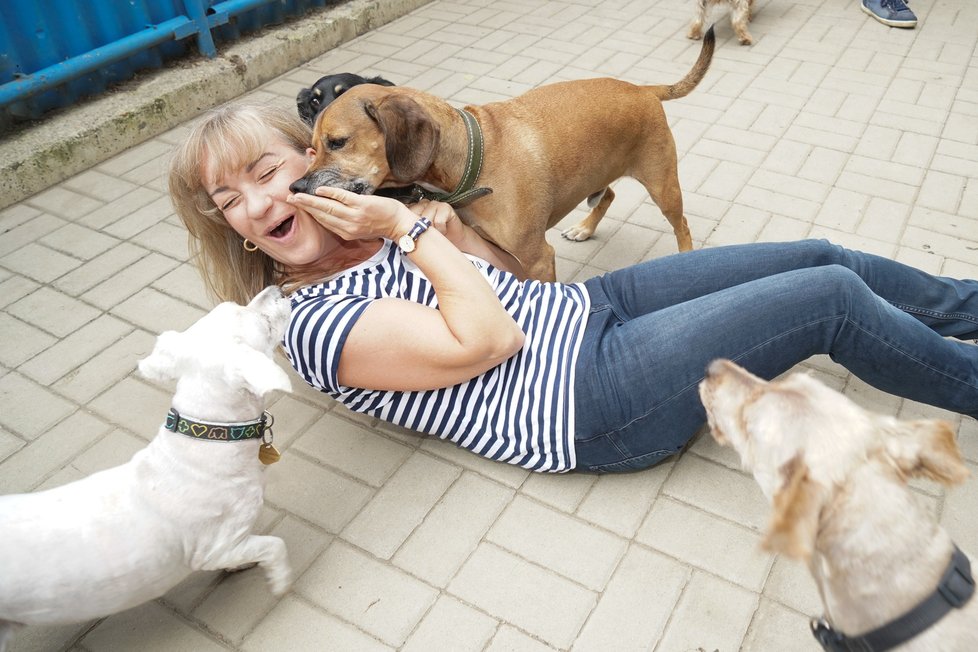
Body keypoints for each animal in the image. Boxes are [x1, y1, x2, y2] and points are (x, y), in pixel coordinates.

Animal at [1, 288, 296, 648]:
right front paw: (280, 579)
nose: (275, 289)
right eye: (263, 321)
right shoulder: (217, 547)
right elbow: (273, 545)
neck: (211, 439)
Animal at [290, 28, 716, 282]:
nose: (297, 186)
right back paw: (584, 227)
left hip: (662, 184)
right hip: (597, 172)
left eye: (337, 142)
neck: (472, 163)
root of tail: (643, 89)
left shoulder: (538, 257)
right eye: (312, 145)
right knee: (608, 194)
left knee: (682, 225)